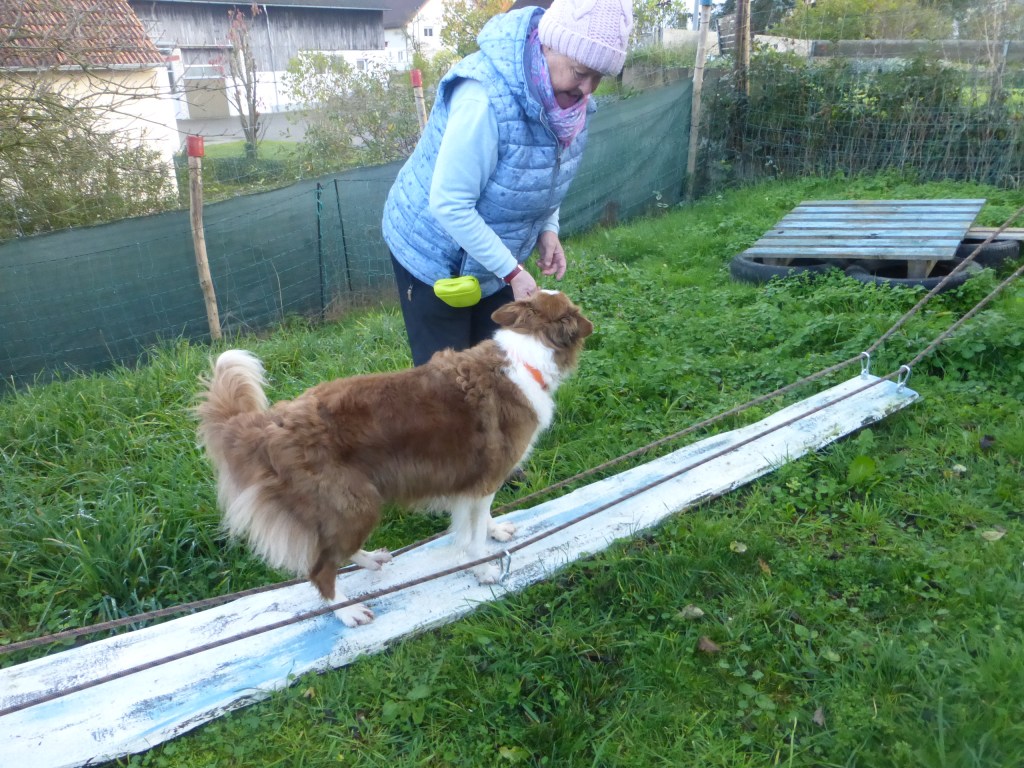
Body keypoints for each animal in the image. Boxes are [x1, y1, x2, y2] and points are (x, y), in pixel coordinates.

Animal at [195, 290, 593, 626]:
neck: (526, 356)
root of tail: (270, 425)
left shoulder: (474, 483)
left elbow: (478, 522)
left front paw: (494, 531)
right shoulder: (485, 478)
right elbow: (473, 537)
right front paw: (483, 570)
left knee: (334, 552)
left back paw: (372, 560)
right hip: (354, 503)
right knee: (319, 568)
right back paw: (348, 612)